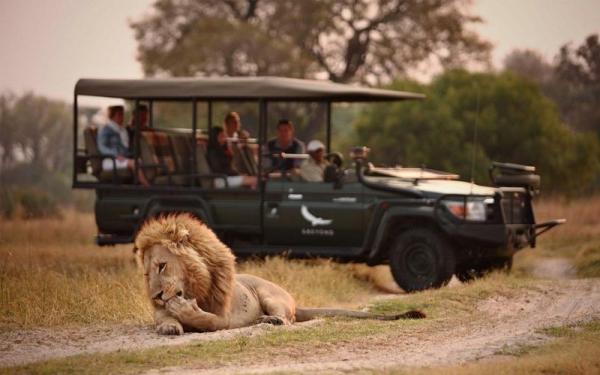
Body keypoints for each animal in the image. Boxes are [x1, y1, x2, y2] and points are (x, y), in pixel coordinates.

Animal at [134, 213, 424, 336]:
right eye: (147, 275)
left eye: (162, 266)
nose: (156, 295)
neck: (194, 286)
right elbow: (162, 318)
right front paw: (170, 323)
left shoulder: (224, 316)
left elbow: (209, 320)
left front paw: (184, 310)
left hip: (269, 296)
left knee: (287, 320)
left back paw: (269, 320)